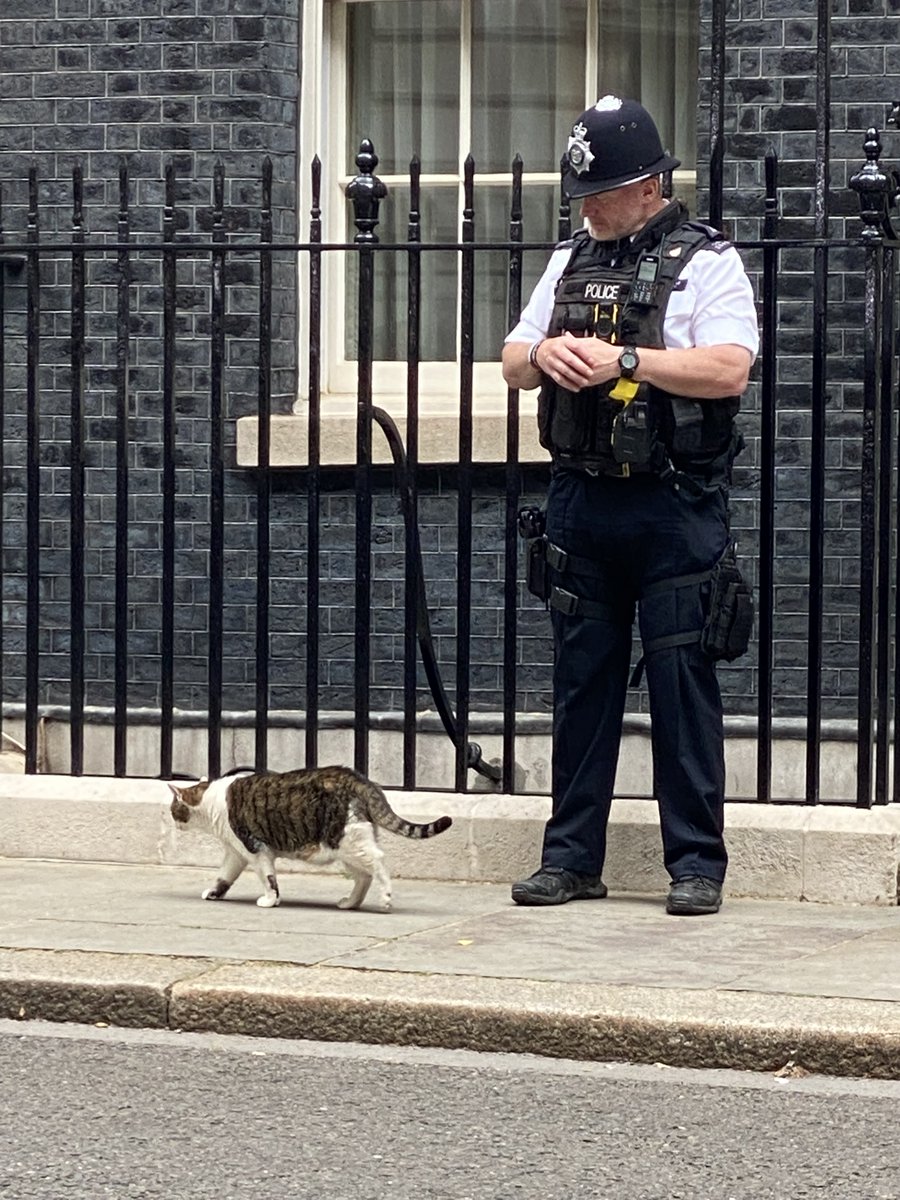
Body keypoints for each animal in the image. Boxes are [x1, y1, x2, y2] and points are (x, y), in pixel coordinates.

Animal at [166, 768, 453, 907]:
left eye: (172, 809)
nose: (173, 821)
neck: (210, 800)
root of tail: (359, 780)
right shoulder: (236, 853)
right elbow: (224, 876)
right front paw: (215, 893)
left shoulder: (256, 849)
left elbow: (269, 879)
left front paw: (270, 901)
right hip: (347, 847)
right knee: (364, 876)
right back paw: (350, 903)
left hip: (347, 841)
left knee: (378, 863)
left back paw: (385, 897)